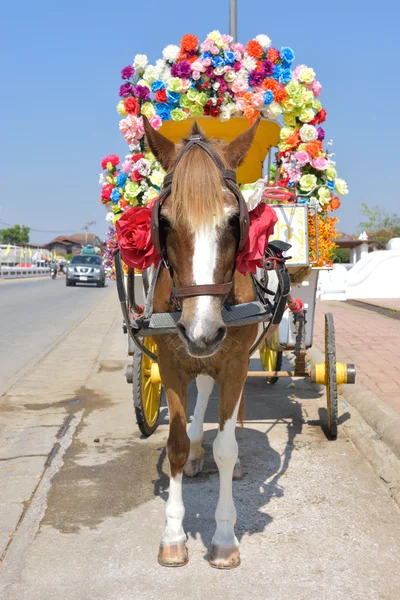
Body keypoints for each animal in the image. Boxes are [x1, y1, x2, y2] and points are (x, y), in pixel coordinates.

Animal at [144, 115, 262, 568]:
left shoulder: (233, 362)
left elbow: (225, 449)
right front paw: (173, 535)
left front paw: (226, 538)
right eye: (164, 223)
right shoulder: (170, 361)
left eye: (233, 221)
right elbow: (175, 443)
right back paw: (196, 450)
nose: (203, 331)